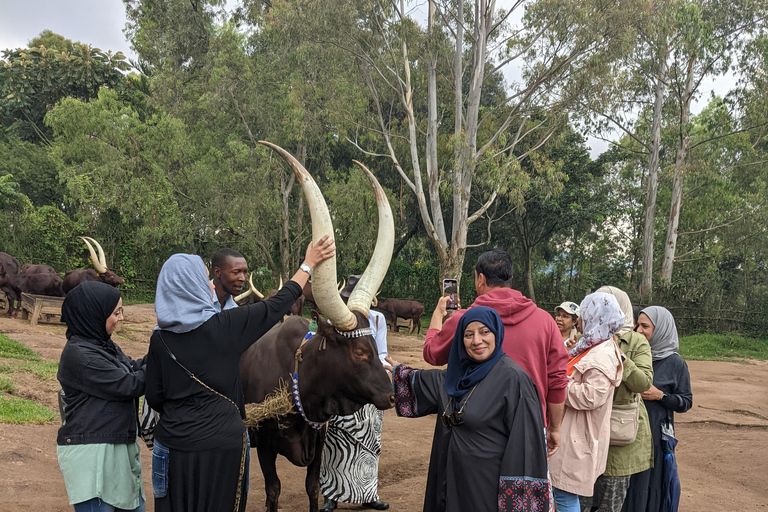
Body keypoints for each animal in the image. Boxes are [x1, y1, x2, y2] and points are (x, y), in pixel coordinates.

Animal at [242, 141, 396, 512]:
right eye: (358, 351)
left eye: (375, 347)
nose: (390, 395)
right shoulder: (264, 446)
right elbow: (273, 491)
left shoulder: (320, 441)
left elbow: (313, 487)